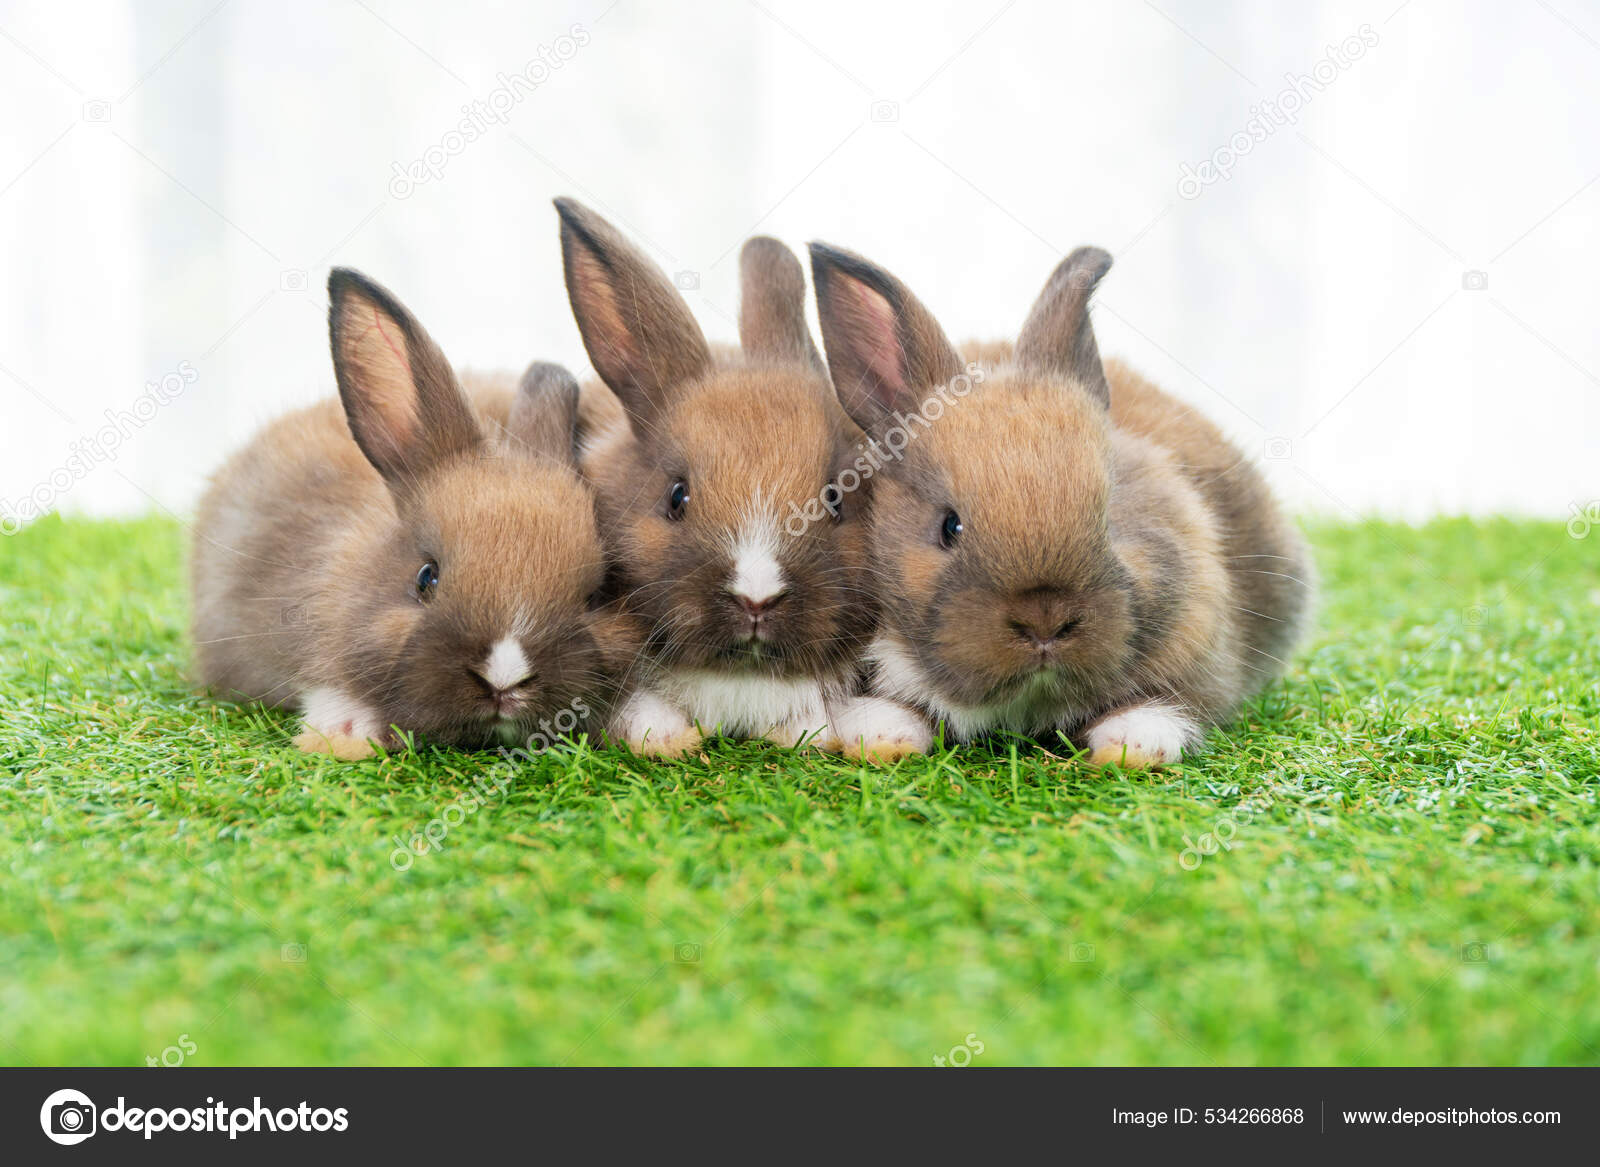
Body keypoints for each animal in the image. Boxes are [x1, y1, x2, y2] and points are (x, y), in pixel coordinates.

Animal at [805, 241, 1314, 767]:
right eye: (950, 527)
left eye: (1110, 518)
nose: (1044, 623)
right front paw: (880, 737)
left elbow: (1170, 704)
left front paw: (1132, 747)